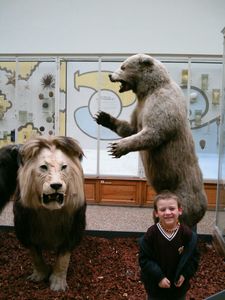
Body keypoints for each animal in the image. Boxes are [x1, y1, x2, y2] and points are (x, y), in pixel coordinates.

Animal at [0, 136, 86, 290]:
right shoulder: (24, 228)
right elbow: (35, 255)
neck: (50, 212)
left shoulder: (74, 227)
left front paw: (57, 283)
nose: (56, 185)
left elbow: (63, 259)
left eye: (64, 167)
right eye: (43, 167)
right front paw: (39, 275)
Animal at [95, 54, 207, 227]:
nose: (110, 75)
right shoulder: (139, 108)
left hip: (183, 188)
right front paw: (103, 117)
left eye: (123, 66)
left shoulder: (162, 102)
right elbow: (132, 128)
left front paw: (116, 147)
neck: (148, 90)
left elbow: (155, 131)